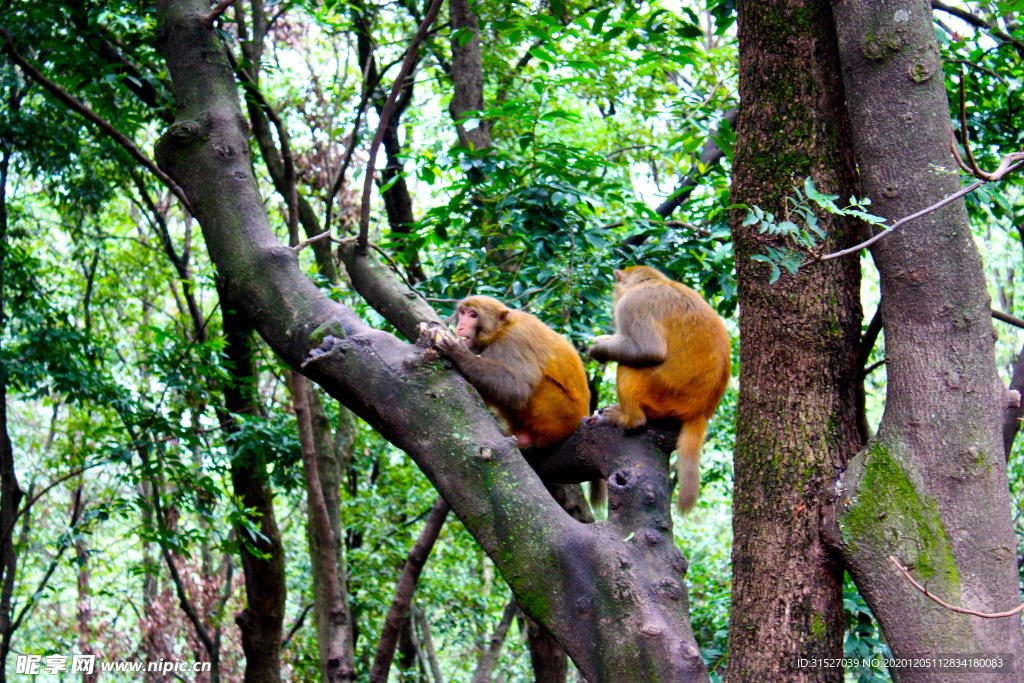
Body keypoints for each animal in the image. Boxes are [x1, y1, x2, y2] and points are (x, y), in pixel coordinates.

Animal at [434, 296, 593, 450]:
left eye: (473, 315)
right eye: (462, 313)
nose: (460, 327)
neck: (502, 329)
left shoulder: (514, 340)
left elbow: (518, 389)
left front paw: (460, 354)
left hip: (560, 415)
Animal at [589, 266, 733, 511]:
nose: (613, 298)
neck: (651, 282)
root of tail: (700, 412)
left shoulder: (632, 305)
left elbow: (649, 351)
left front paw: (598, 349)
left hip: (660, 398)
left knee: (628, 366)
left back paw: (629, 419)